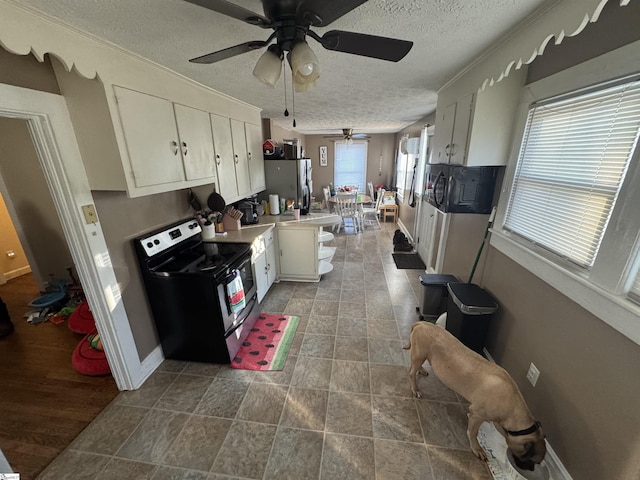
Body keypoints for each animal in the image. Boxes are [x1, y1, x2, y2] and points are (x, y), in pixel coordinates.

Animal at [404, 320, 544, 470]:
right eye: (532, 460)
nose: (530, 469)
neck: (514, 409)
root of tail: (422, 323)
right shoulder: (477, 415)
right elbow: (473, 432)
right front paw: (477, 448)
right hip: (419, 355)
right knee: (411, 372)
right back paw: (415, 389)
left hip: (422, 356)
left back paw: (421, 370)